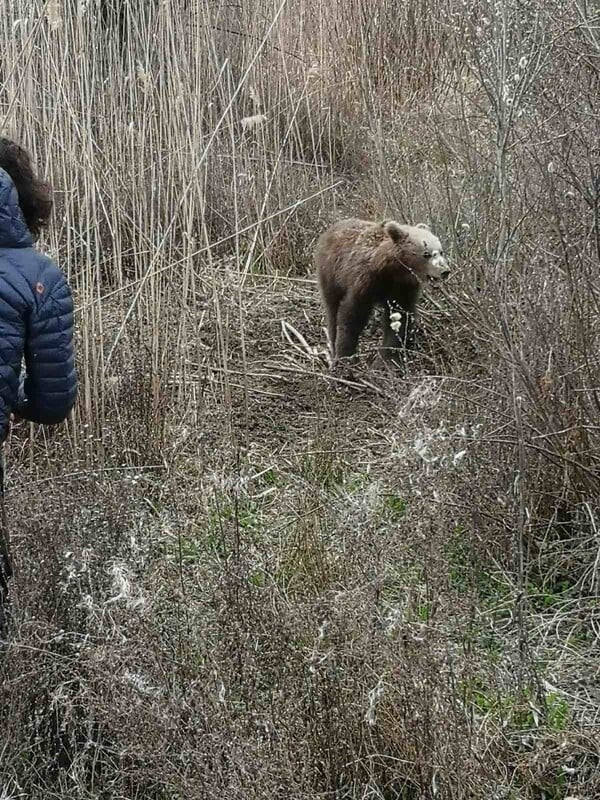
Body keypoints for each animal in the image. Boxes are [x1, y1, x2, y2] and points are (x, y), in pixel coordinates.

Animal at [316, 220, 448, 368]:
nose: (445, 271)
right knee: (332, 309)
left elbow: (400, 319)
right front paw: (346, 356)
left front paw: (386, 360)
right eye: (426, 254)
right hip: (331, 274)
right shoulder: (365, 282)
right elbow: (351, 315)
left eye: (441, 251)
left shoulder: (402, 290)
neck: (394, 271)